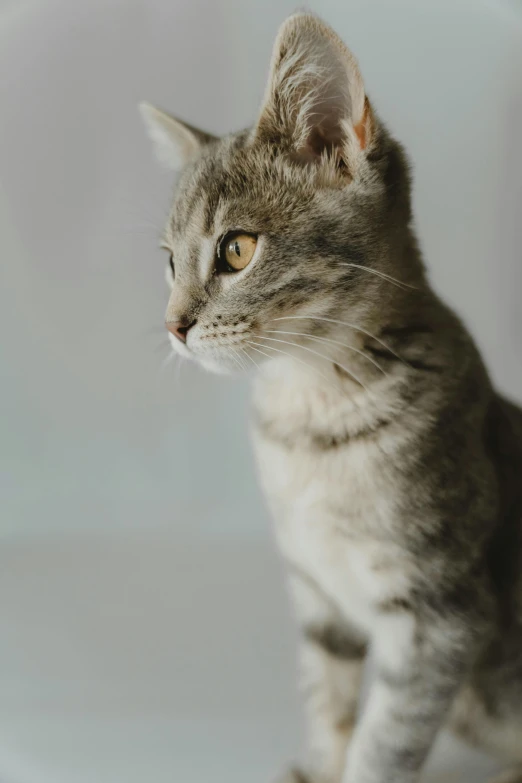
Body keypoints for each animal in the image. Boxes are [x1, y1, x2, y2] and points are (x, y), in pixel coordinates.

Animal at [138, 12, 520, 783]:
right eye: (167, 261)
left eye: (235, 250)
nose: (172, 325)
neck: (311, 422)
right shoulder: (318, 596)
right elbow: (329, 694)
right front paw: (319, 763)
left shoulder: (442, 614)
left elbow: (386, 738)